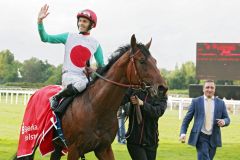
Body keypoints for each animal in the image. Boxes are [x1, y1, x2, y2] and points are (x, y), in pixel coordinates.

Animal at [13, 34, 167, 159]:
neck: (97, 108)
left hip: (56, 146)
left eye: (155, 61)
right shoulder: (74, 150)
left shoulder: (104, 149)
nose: (162, 88)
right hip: (31, 140)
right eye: (142, 60)